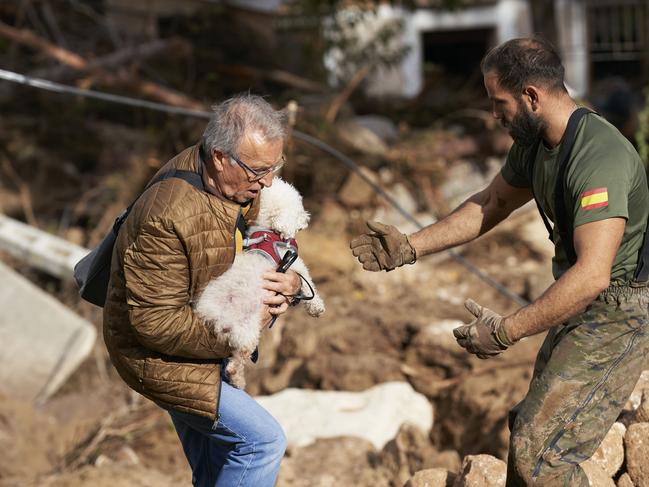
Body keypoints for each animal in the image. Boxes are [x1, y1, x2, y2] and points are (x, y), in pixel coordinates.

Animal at [192, 178, 324, 388]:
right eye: (298, 206)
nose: (306, 219)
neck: (268, 230)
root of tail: (214, 314)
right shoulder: (293, 264)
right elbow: (307, 281)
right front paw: (316, 307)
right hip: (248, 328)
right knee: (238, 360)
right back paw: (238, 380)